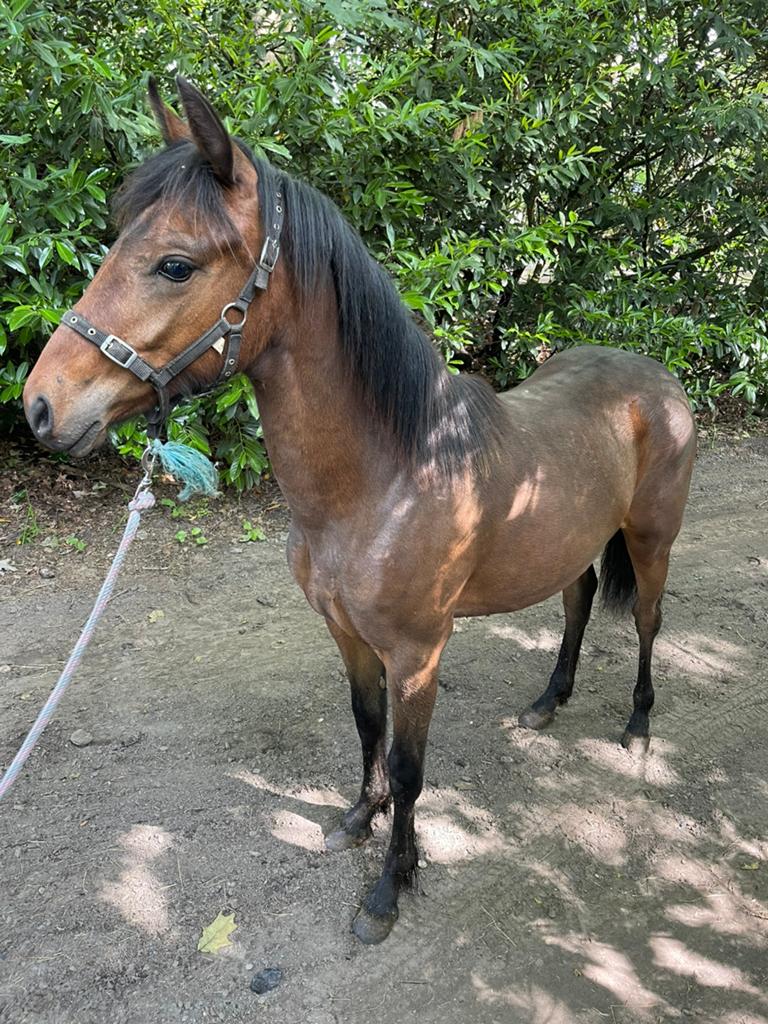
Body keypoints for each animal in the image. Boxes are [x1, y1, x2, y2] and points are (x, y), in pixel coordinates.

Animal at [23, 78, 697, 944]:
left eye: (175, 264)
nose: (41, 406)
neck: (386, 480)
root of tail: (658, 377)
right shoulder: (347, 636)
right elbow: (365, 728)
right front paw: (356, 820)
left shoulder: (418, 655)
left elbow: (410, 771)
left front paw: (389, 887)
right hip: (571, 542)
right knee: (577, 603)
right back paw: (549, 702)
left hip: (650, 539)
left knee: (646, 621)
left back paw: (638, 729)